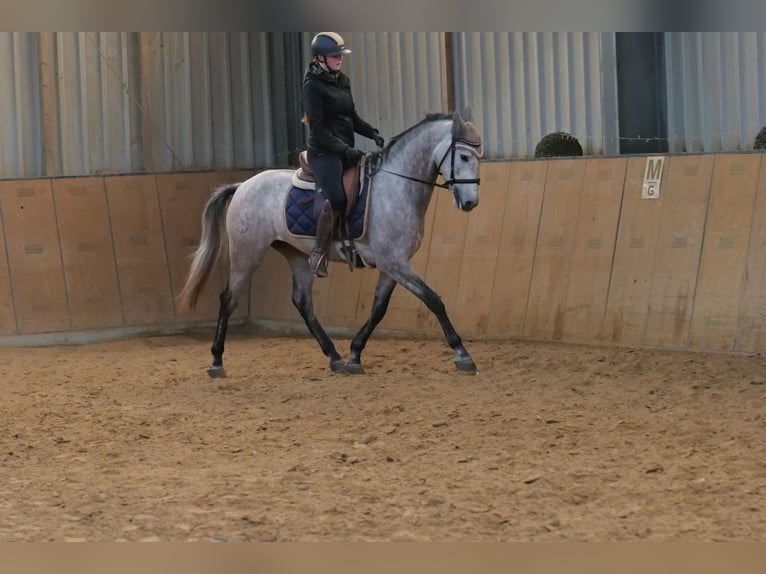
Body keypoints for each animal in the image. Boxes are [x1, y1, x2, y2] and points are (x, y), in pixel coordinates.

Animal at [177, 111, 484, 380]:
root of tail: (242, 185)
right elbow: (434, 300)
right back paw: (216, 361)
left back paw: (334, 357)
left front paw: (354, 355)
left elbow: (378, 309)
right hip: (247, 254)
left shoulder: (392, 265)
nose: (470, 203)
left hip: (298, 255)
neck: (395, 186)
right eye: (464, 155)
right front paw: (462, 354)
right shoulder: (395, 262)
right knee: (228, 299)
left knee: (302, 301)